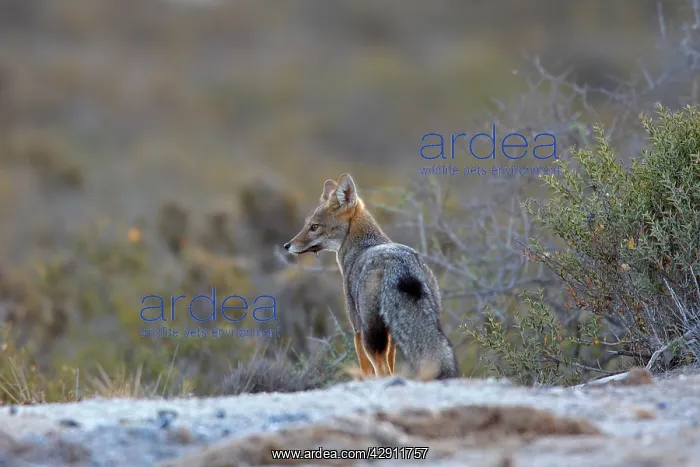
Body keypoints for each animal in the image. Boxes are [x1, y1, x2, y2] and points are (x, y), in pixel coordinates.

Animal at [283, 173, 460, 380]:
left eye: (314, 227)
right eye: (308, 225)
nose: (287, 245)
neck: (363, 244)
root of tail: (398, 264)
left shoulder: (357, 328)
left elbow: (366, 371)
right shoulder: (390, 335)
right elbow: (391, 364)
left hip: (370, 334)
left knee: (382, 370)